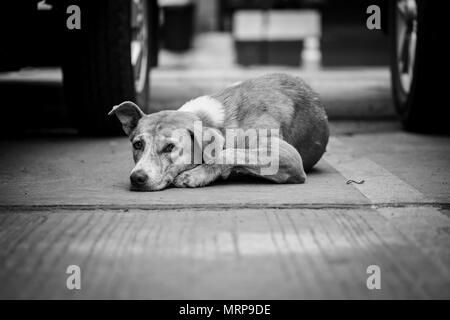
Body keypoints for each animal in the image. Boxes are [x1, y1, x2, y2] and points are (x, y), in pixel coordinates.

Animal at [107, 74, 328, 191]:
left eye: (170, 147)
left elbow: (226, 153)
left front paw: (196, 175)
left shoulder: (289, 156)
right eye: (137, 145)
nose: (137, 178)